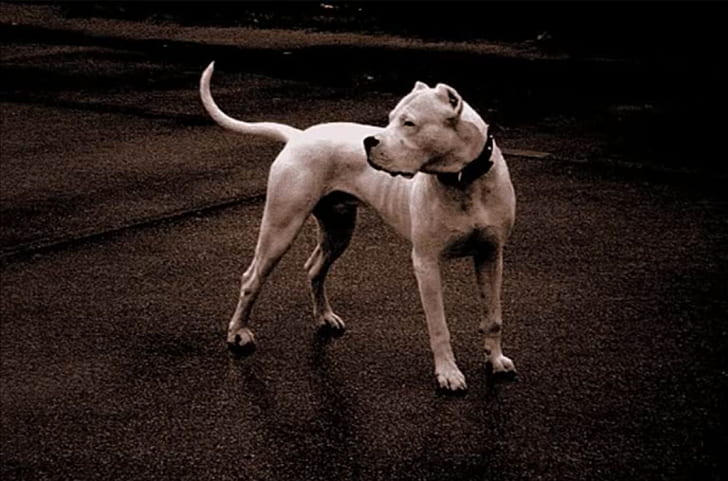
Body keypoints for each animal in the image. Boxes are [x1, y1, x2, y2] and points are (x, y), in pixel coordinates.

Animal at [200, 62, 516, 391]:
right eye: (390, 118)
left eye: (409, 123)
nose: (369, 141)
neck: (465, 180)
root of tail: (298, 136)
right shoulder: (426, 263)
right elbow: (439, 325)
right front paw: (448, 373)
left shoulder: (491, 256)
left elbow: (493, 316)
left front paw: (495, 361)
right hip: (281, 227)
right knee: (252, 278)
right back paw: (238, 333)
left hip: (338, 231)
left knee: (315, 268)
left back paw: (324, 317)